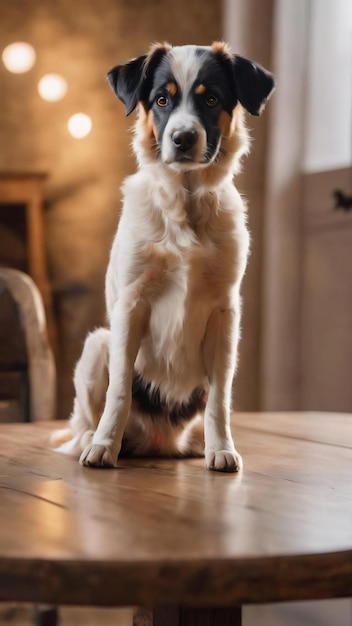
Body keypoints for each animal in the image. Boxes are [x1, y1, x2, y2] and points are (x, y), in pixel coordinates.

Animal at [53, 41, 276, 470]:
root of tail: (160, 443)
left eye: (211, 99)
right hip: (98, 344)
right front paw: (104, 446)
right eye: (161, 99)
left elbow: (220, 398)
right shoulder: (131, 304)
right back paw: (94, 439)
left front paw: (221, 449)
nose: (183, 138)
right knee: (81, 422)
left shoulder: (225, 312)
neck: (185, 203)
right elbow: (120, 389)